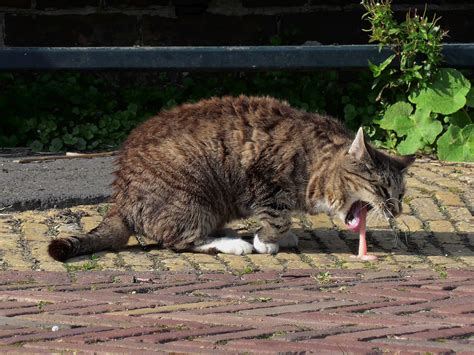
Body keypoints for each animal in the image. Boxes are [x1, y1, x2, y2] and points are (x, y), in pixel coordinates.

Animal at [46, 95, 412, 262]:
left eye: (401, 194)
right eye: (382, 188)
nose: (395, 210)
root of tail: (121, 197)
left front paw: (281, 236)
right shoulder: (265, 179)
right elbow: (276, 216)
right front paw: (267, 241)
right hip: (191, 197)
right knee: (179, 240)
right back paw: (234, 242)